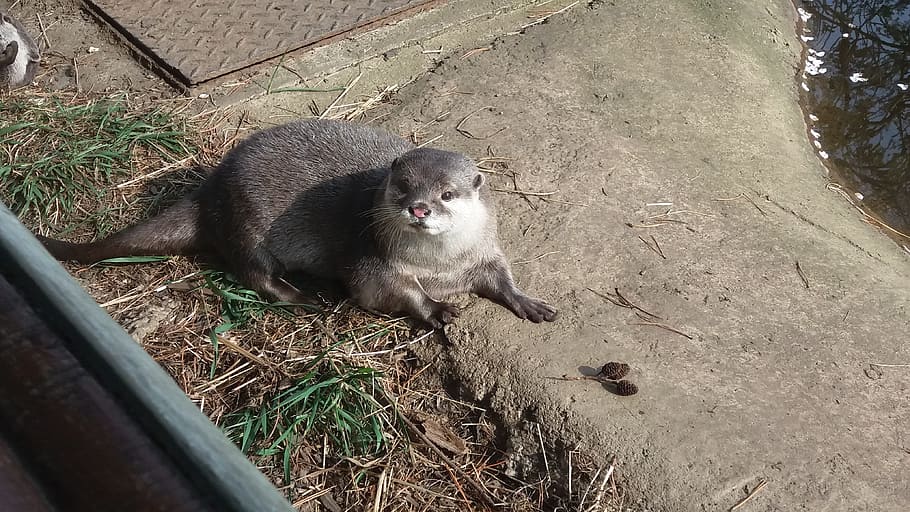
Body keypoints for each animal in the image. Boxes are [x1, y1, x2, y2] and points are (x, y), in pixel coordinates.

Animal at [38, 119, 557, 328]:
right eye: (403, 187)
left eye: (447, 194)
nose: (419, 209)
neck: (440, 267)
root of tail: (212, 186)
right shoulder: (372, 262)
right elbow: (388, 293)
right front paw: (436, 309)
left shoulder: (484, 253)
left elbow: (501, 277)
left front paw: (530, 302)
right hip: (246, 223)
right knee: (254, 273)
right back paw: (305, 297)